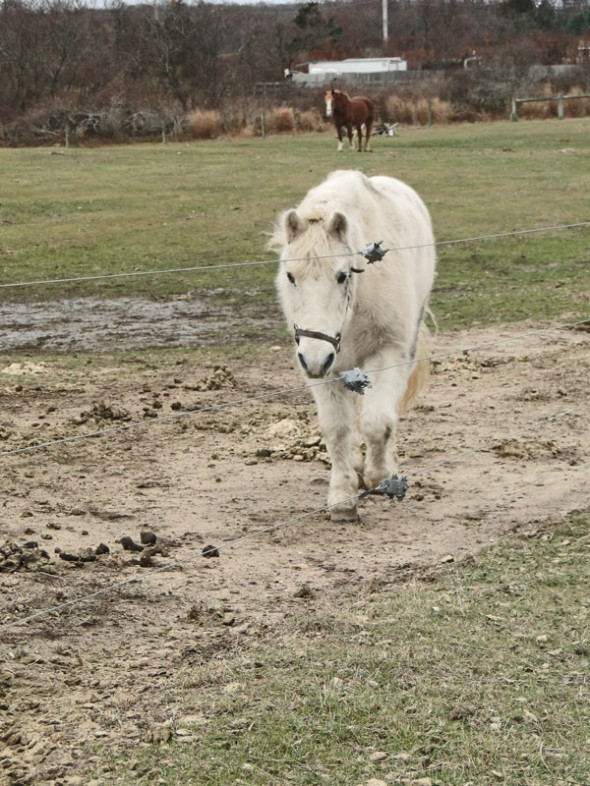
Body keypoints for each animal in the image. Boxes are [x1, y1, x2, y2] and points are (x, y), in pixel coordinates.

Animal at [270, 168, 438, 516]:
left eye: (342, 275)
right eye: (291, 276)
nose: (315, 357)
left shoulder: (388, 353)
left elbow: (377, 421)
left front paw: (379, 475)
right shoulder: (324, 366)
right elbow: (337, 428)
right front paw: (342, 495)